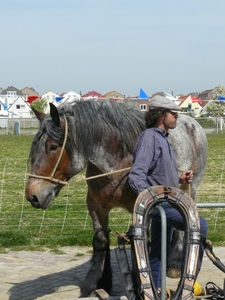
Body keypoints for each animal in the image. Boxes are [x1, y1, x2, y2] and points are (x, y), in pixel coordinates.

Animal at [24, 99, 207, 296]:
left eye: (53, 147)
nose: (32, 196)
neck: (119, 164)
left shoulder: (141, 207)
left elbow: (137, 242)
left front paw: (138, 283)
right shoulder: (96, 205)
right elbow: (101, 241)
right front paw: (98, 281)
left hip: (190, 187)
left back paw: (174, 264)